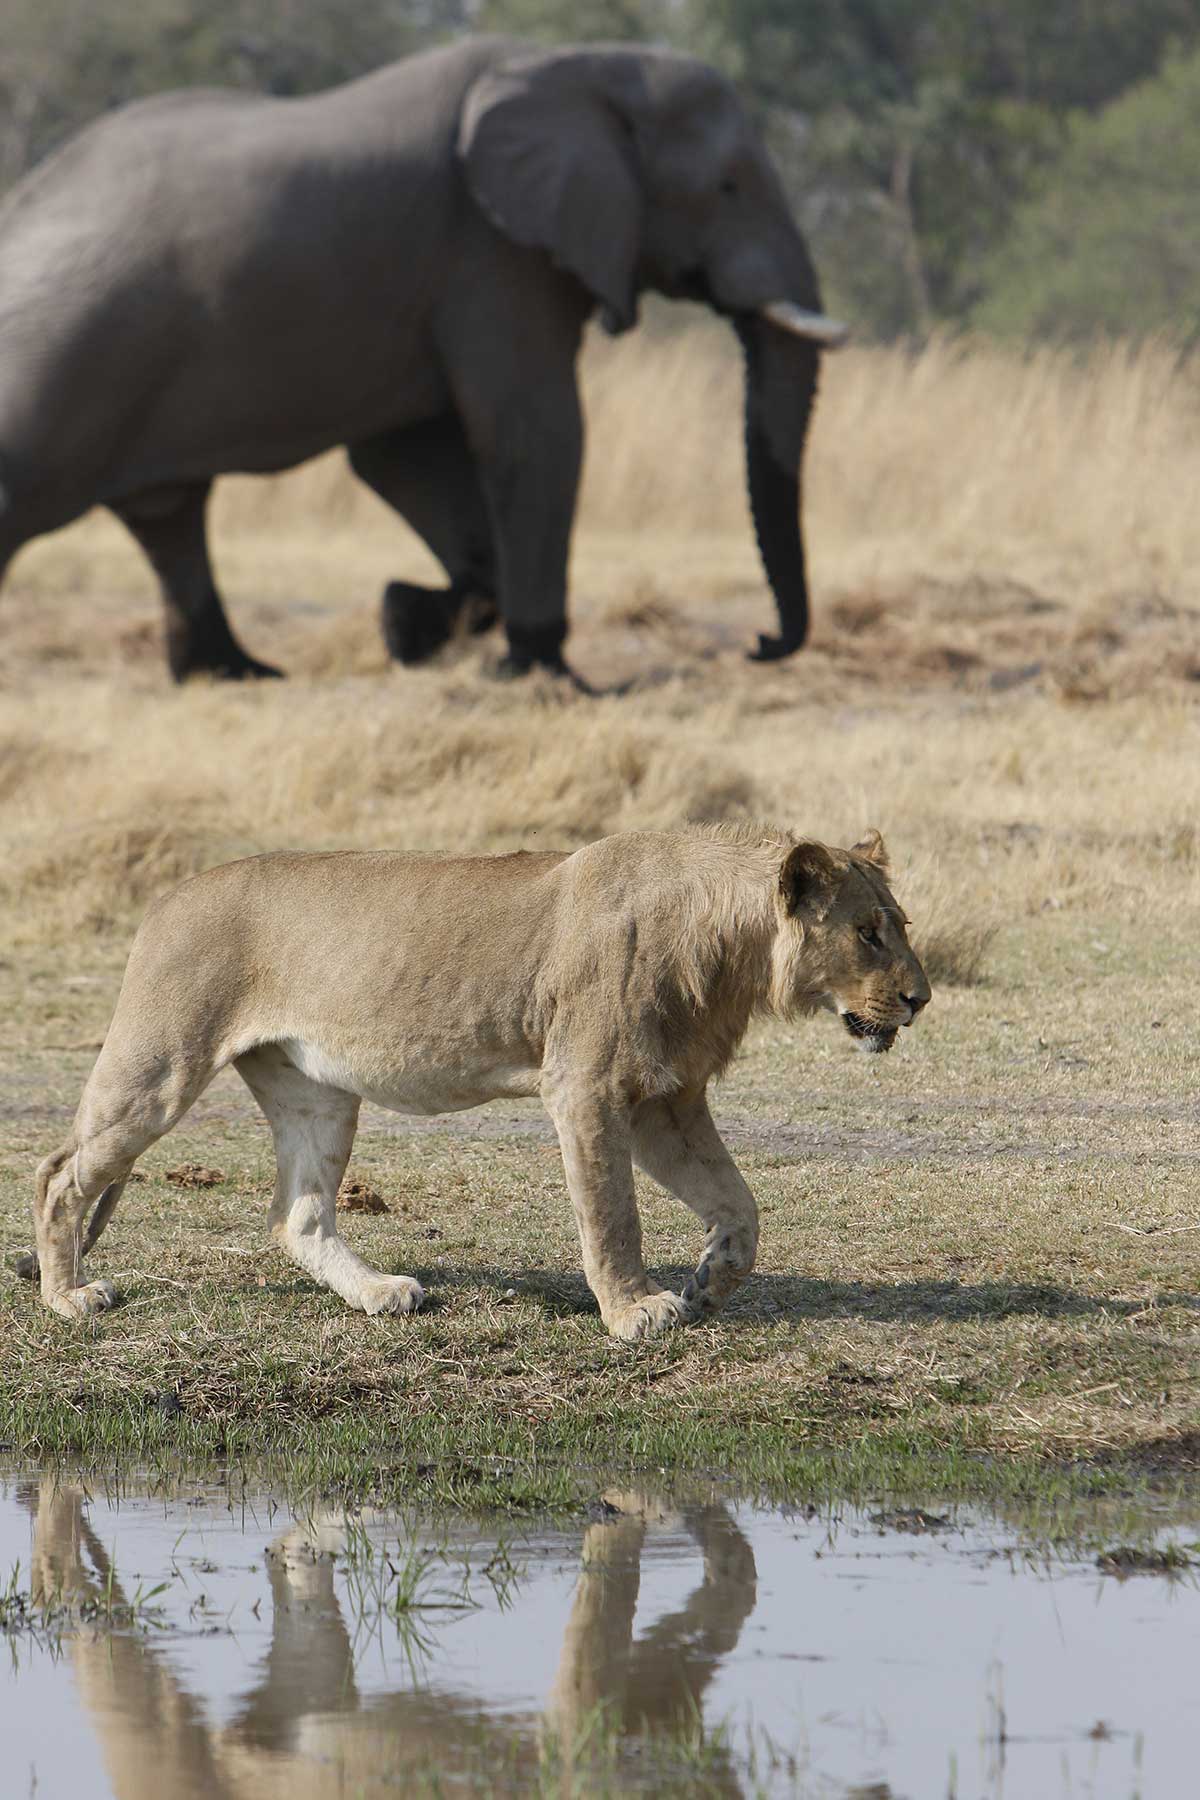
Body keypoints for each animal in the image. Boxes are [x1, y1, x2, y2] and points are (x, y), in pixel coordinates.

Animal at [0, 35, 845, 680]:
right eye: (729, 187)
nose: (758, 644)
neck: (585, 63)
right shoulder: (490, 252)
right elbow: (533, 432)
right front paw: (542, 673)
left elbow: (404, 455)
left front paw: (408, 623)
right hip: (63, 353)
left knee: (169, 514)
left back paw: (237, 674)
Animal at [23, 824, 935, 1339]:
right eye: (868, 932)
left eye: (901, 924)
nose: (921, 999)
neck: (732, 951)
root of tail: (168, 896)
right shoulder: (589, 1086)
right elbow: (612, 1215)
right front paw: (634, 1312)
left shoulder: (666, 1097)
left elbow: (739, 1204)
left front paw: (711, 1283)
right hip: (161, 1064)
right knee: (60, 1173)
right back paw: (69, 1298)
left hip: (317, 1091)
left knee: (298, 1217)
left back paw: (381, 1295)